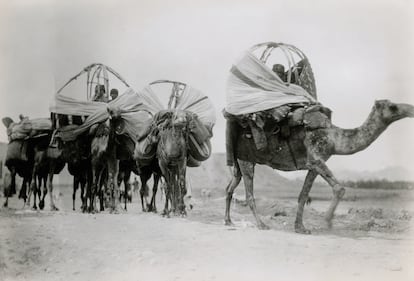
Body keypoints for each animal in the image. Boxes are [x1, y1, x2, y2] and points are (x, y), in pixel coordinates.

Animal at [223, 99, 414, 233]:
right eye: (393, 107)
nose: (411, 109)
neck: (334, 137)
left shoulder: (313, 166)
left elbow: (303, 195)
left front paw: (300, 228)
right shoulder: (316, 158)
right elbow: (339, 188)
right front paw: (327, 221)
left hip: (238, 163)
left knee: (230, 186)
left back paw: (228, 221)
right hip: (246, 160)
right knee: (249, 194)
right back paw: (261, 225)